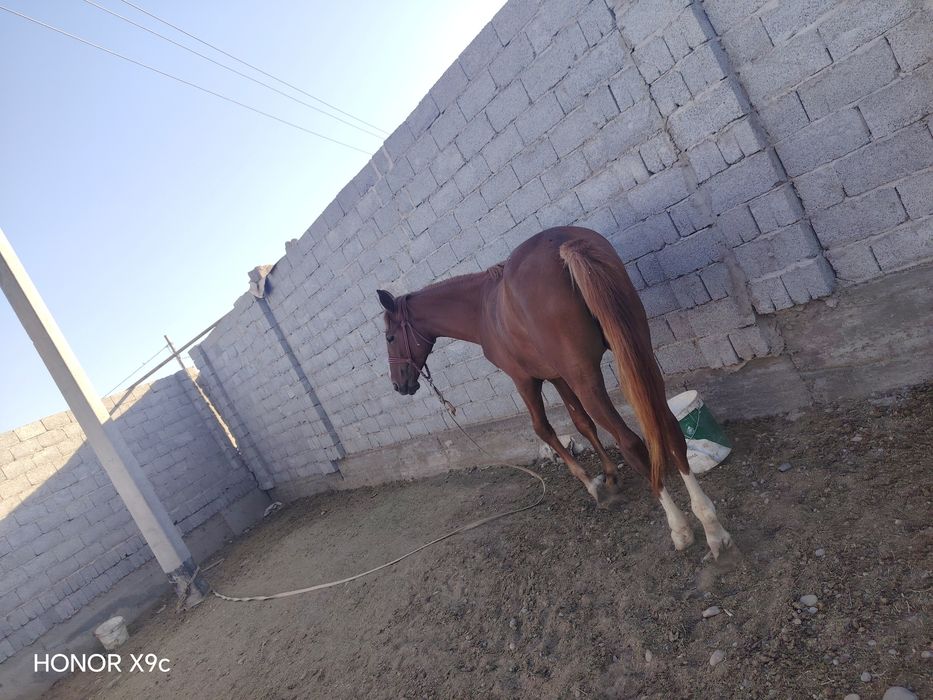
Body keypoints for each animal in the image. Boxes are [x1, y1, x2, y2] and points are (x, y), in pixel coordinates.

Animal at [377, 226, 733, 559]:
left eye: (390, 337)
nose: (399, 384)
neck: (483, 309)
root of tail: (566, 245)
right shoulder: (559, 376)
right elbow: (581, 423)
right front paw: (609, 475)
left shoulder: (526, 379)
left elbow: (543, 428)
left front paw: (592, 484)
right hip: (637, 352)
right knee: (669, 429)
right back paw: (711, 525)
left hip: (587, 381)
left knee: (631, 443)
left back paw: (681, 529)